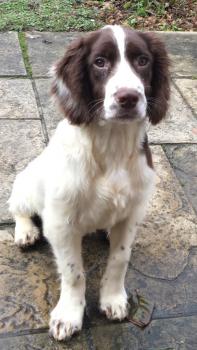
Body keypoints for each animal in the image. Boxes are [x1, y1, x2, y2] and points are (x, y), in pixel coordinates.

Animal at [8, 25, 169, 342]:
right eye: (100, 62)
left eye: (143, 60)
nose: (129, 98)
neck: (112, 145)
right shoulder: (60, 222)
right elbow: (73, 272)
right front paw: (69, 314)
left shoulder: (132, 213)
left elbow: (120, 259)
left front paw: (113, 299)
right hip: (28, 183)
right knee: (15, 205)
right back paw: (26, 231)